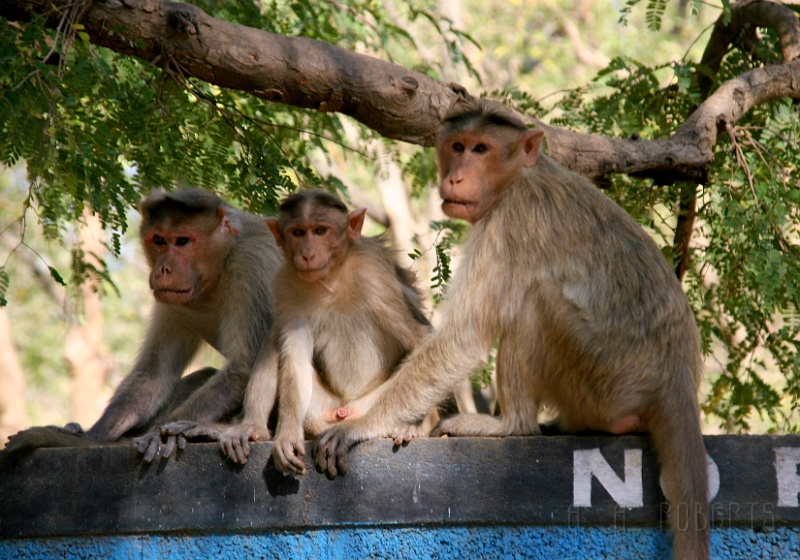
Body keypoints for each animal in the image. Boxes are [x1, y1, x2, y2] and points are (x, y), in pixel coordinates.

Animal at [4, 189, 282, 463]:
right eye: (158, 240)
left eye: (183, 241)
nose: (163, 269)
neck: (221, 264)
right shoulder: (172, 299)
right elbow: (154, 373)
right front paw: (88, 437)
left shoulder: (251, 267)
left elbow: (243, 367)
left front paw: (157, 435)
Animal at [169, 190, 435, 474]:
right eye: (298, 233)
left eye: (320, 231)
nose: (307, 254)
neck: (330, 279)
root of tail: (343, 410)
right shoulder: (285, 283)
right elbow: (294, 359)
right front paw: (286, 435)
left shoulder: (375, 278)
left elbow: (421, 339)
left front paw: (410, 425)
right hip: (319, 412)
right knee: (276, 339)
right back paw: (251, 428)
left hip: (368, 406)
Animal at [312, 98, 709, 560]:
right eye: (457, 146)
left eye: (481, 149)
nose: (455, 176)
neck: (520, 175)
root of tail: (676, 378)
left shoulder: (510, 222)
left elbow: (466, 338)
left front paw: (359, 425)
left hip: (605, 382)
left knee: (533, 303)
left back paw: (510, 425)